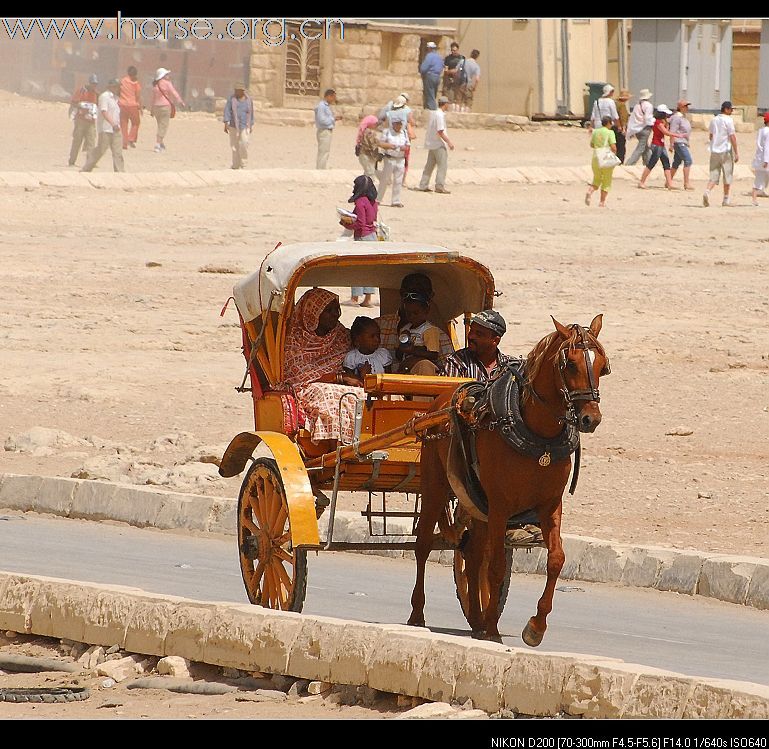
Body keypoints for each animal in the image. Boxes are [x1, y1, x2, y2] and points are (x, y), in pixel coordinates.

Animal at [404, 312, 608, 644]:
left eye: (603, 365)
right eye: (570, 364)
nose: (591, 418)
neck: (536, 434)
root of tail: (442, 399)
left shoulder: (550, 505)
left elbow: (556, 559)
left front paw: (535, 627)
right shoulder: (500, 506)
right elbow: (497, 566)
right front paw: (493, 631)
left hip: (477, 506)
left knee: (473, 555)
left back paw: (476, 618)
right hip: (436, 486)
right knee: (423, 545)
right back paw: (418, 615)